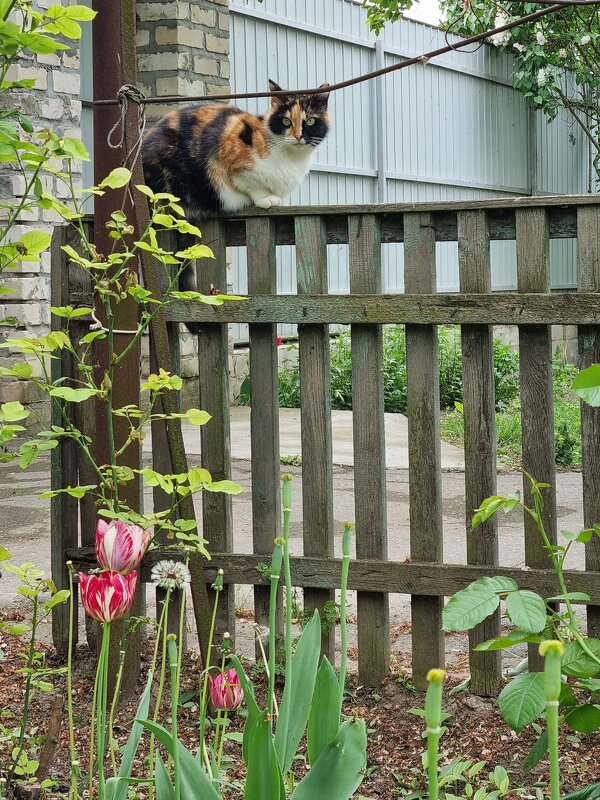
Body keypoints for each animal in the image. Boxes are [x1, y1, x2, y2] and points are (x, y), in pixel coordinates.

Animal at [142, 78, 328, 217]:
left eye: (310, 121)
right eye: (286, 121)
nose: (298, 136)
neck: (293, 158)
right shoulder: (231, 154)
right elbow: (252, 185)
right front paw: (268, 198)